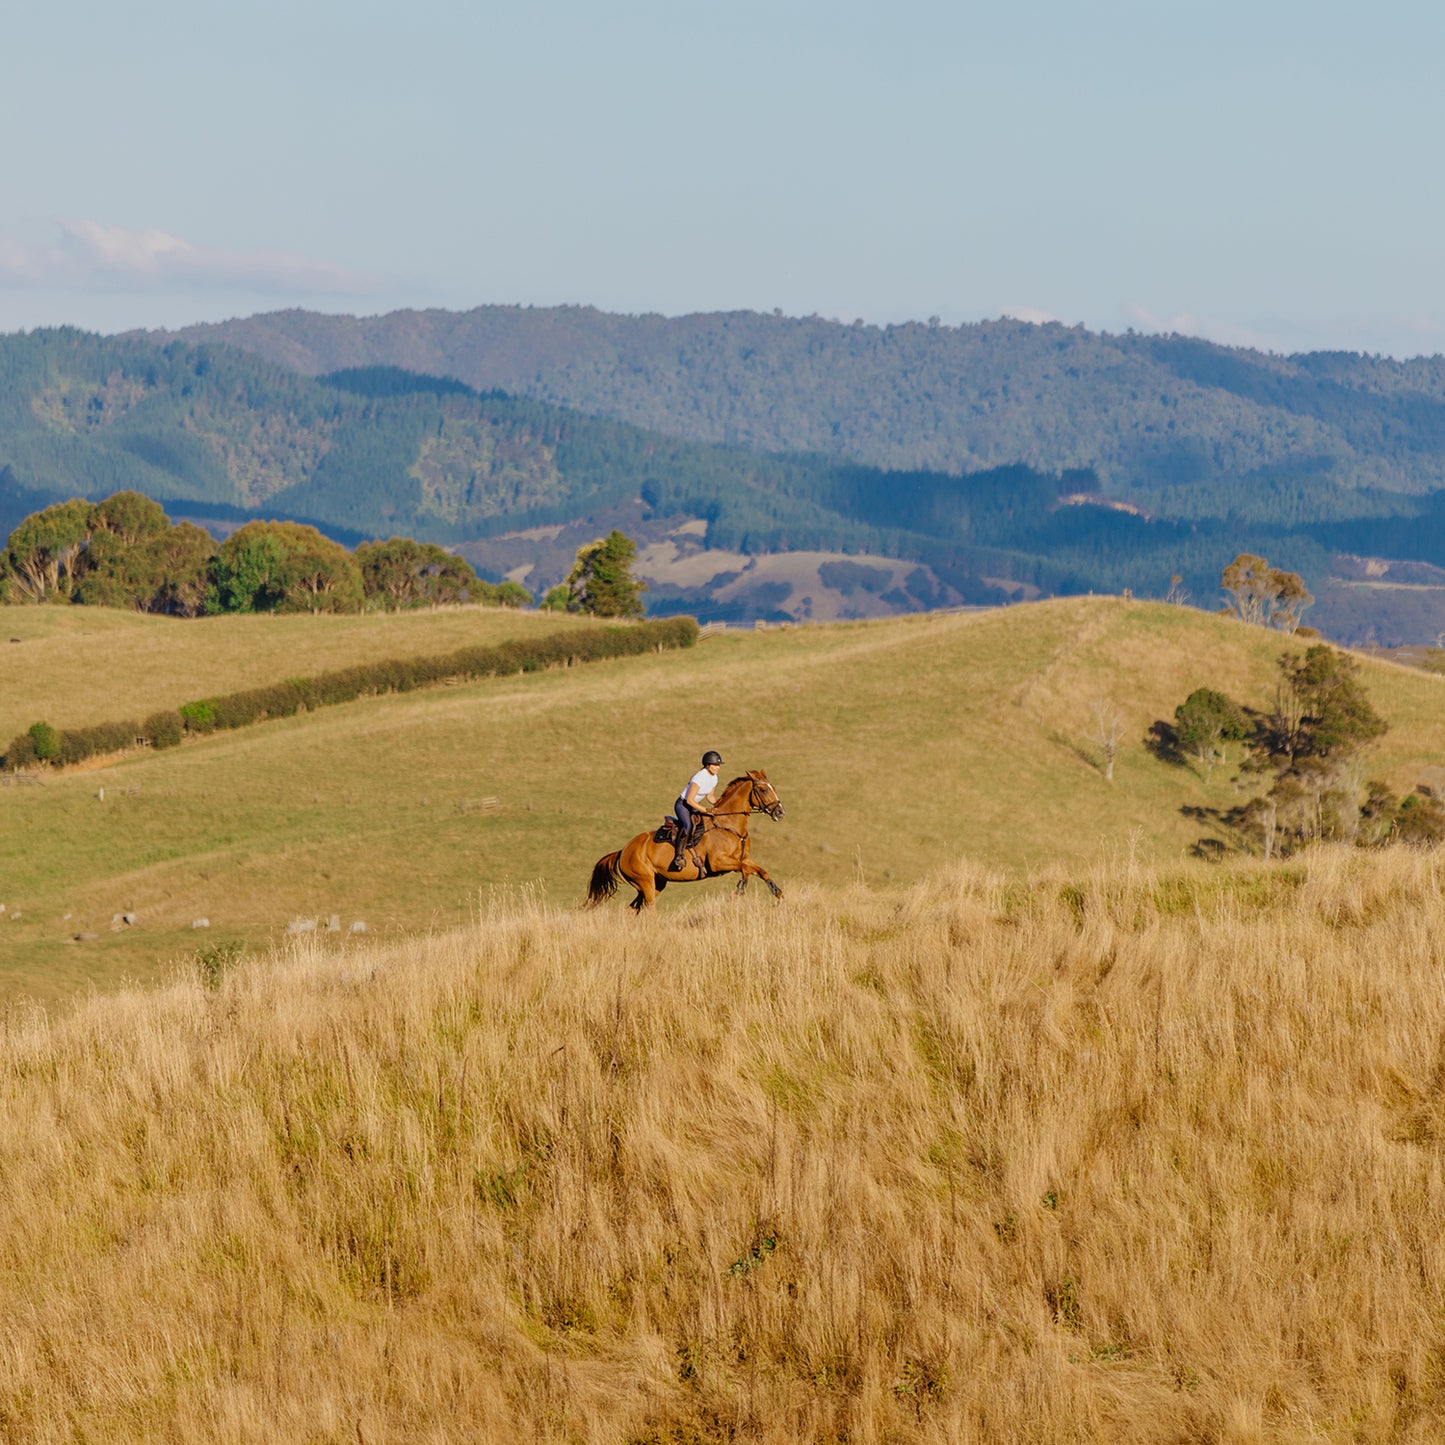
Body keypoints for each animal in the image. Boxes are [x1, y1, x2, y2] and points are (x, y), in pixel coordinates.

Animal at [586, 774, 791, 907]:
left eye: (773, 788)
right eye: (763, 789)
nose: (780, 812)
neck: (728, 824)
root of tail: (623, 851)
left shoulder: (742, 858)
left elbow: (760, 870)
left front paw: (778, 895)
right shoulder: (718, 863)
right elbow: (745, 869)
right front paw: (739, 890)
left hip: (655, 883)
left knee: (633, 909)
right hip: (645, 882)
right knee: (649, 908)